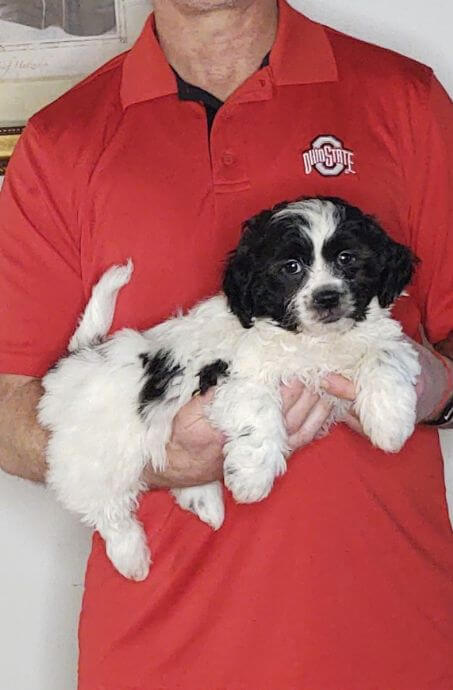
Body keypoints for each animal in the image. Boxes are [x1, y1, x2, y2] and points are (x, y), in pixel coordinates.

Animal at [38, 196, 420, 576]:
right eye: (291, 267)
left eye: (347, 258)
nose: (326, 298)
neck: (311, 340)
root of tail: (78, 357)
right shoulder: (235, 375)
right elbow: (260, 414)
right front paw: (253, 478)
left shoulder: (378, 341)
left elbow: (385, 356)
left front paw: (390, 424)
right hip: (95, 454)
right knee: (105, 506)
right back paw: (131, 555)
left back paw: (204, 501)